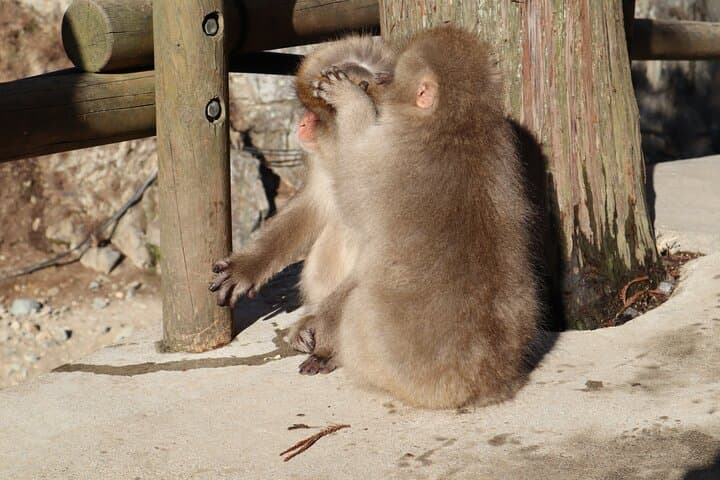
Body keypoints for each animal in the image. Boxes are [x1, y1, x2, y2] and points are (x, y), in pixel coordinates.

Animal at [209, 36, 395, 316]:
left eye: (314, 113)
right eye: (305, 107)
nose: (302, 122)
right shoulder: (325, 163)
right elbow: (313, 206)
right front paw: (247, 266)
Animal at [284, 26, 539, 408]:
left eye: (389, 78)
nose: (378, 81)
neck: (457, 122)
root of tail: (482, 385)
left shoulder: (386, 150)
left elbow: (351, 186)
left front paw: (351, 100)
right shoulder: (504, 141)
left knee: (358, 306)